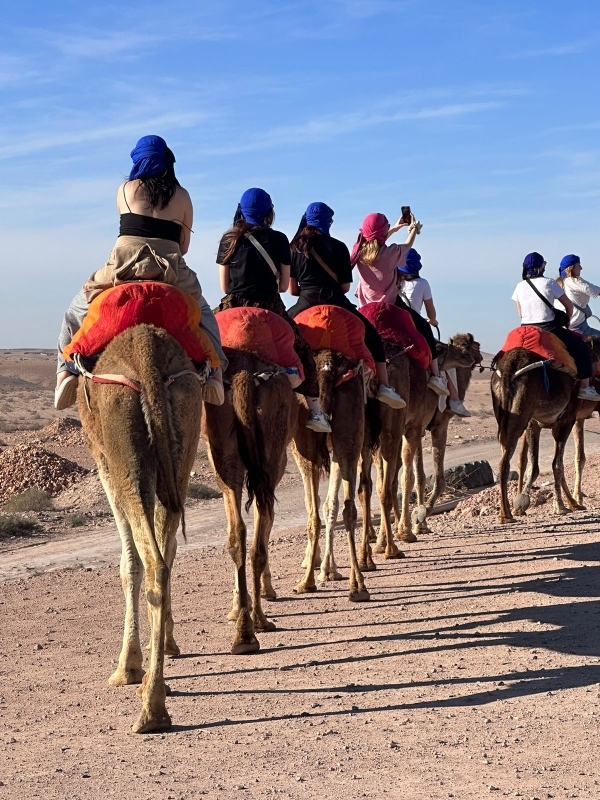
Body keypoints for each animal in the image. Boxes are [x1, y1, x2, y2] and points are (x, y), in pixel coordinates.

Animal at [78, 324, 203, 733]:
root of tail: (147, 355)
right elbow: (169, 549)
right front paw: (167, 644)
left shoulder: (104, 463)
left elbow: (127, 563)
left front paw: (128, 667)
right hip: (183, 431)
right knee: (163, 560)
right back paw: (155, 696)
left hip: (125, 444)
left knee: (152, 562)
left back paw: (150, 709)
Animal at [202, 348, 297, 654]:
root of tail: (246, 378)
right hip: (271, 456)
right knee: (255, 540)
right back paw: (257, 623)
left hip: (227, 454)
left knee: (238, 535)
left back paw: (245, 632)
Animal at [291, 349, 370, 602]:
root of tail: (328, 365)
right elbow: (330, 505)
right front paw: (328, 568)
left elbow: (316, 504)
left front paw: (320, 565)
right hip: (351, 433)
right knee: (349, 508)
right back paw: (358, 587)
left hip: (306, 445)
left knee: (315, 513)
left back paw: (306, 582)